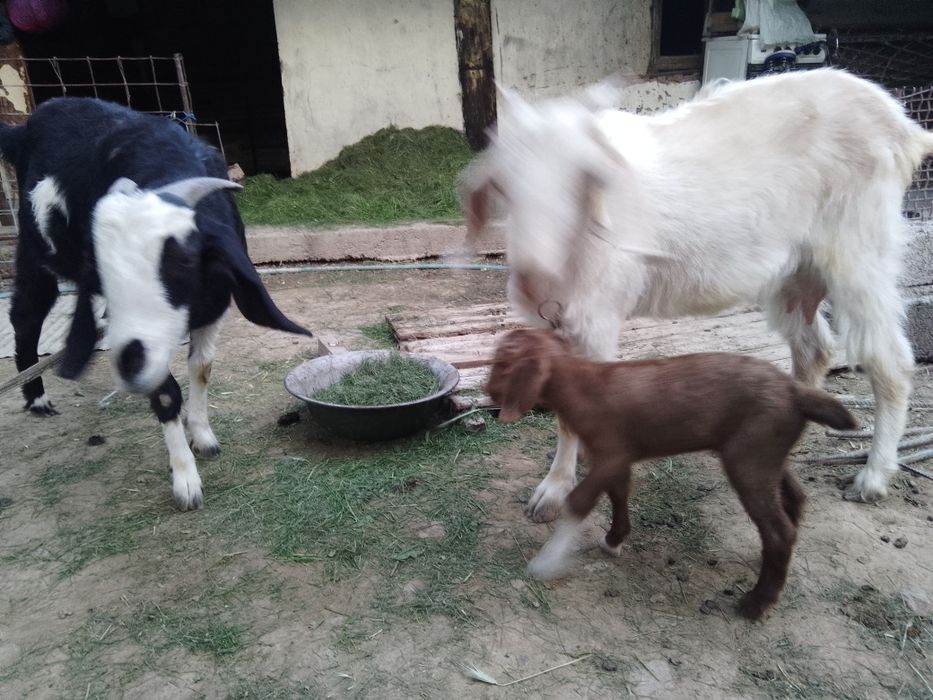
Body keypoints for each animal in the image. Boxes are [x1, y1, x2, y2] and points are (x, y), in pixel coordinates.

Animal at [2, 97, 310, 510]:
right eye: (98, 265)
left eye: (183, 259)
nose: (129, 365)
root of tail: (24, 129)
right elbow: (166, 392)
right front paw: (185, 478)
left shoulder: (213, 302)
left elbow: (202, 367)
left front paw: (203, 436)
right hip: (34, 251)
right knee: (26, 315)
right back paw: (37, 398)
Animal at [463, 68, 933, 517]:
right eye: (503, 186)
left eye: (584, 179)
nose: (531, 279)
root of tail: (903, 126)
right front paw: (555, 486)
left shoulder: (596, 322)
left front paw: (559, 492)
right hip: (794, 272)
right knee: (813, 348)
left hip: (859, 248)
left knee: (890, 361)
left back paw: (873, 477)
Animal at [488, 328, 857, 619]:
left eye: (501, 364)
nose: (488, 392)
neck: (584, 385)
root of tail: (797, 392)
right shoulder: (618, 459)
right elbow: (619, 493)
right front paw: (615, 540)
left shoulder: (610, 455)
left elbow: (579, 501)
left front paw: (547, 561)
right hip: (764, 451)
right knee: (794, 496)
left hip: (749, 457)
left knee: (779, 530)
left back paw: (756, 603)